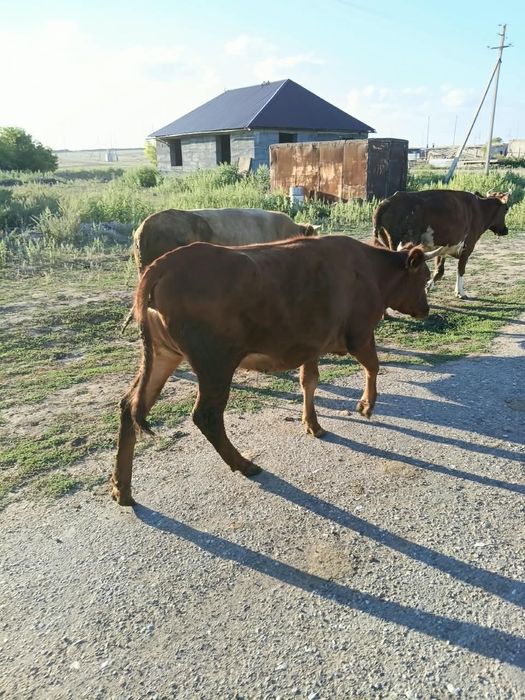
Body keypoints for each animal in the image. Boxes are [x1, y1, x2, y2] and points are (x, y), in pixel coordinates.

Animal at [110, 235, 435, 506]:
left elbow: (309, 381)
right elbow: (373, 366)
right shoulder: (360, 334)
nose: (426, 310)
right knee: (206, 415)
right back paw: (243, 464)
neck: (371, 270)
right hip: (215, 363)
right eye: (425, 277)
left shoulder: (311, 344)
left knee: (130, 406)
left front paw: (312, 424)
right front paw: (366, 405)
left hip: (163, 355)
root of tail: (165, 262)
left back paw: (122, 489)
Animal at [373, 190, 509, 299]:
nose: (506, 230)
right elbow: (461, 270)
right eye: (506, 209)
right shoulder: (468, 247)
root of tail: (388, 201)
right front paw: (460, 292)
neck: (480, 209)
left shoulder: (442, 248)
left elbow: (439, 271)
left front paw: (427, 286)